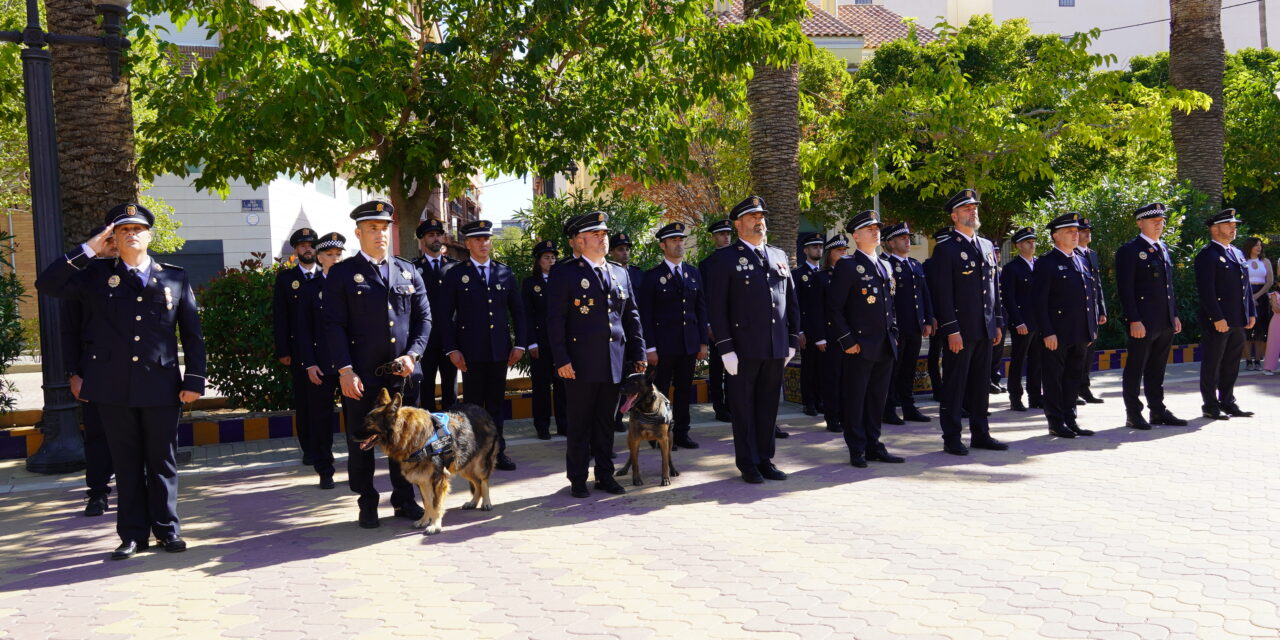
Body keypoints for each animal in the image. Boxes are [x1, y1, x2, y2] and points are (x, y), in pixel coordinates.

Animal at [360, 389, 504, 535]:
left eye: (369, 424)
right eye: (364, 422)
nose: (353, 436)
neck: (411, 435)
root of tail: (481, 409)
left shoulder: (438, 480)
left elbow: (436, 505)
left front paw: (435, 525)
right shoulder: (422, 479)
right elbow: (427, 503)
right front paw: (424, 520)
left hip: (479, 465)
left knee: (484, 481)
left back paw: (486, 502)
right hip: (462, 466)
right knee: (477, 482)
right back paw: (473, 502)